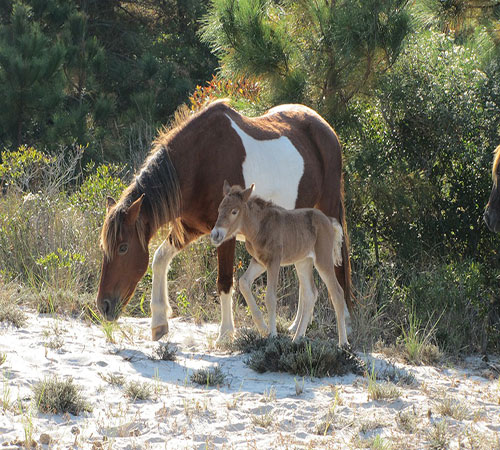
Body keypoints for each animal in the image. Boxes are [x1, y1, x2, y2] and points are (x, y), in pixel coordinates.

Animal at [210, 181, 348, 346]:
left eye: (234, 211)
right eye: (219, 209)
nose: (215, 234)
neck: (259, 227)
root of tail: (329, 220)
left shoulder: (274, 262)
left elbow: (270, 297)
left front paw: (272, 335)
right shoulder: (259, 261)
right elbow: (243, 282)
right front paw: (262, 328)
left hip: (323, 259)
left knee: (337, 293)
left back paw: (343, 343)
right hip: (303, 262)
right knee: (310, 294)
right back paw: (297, 338)